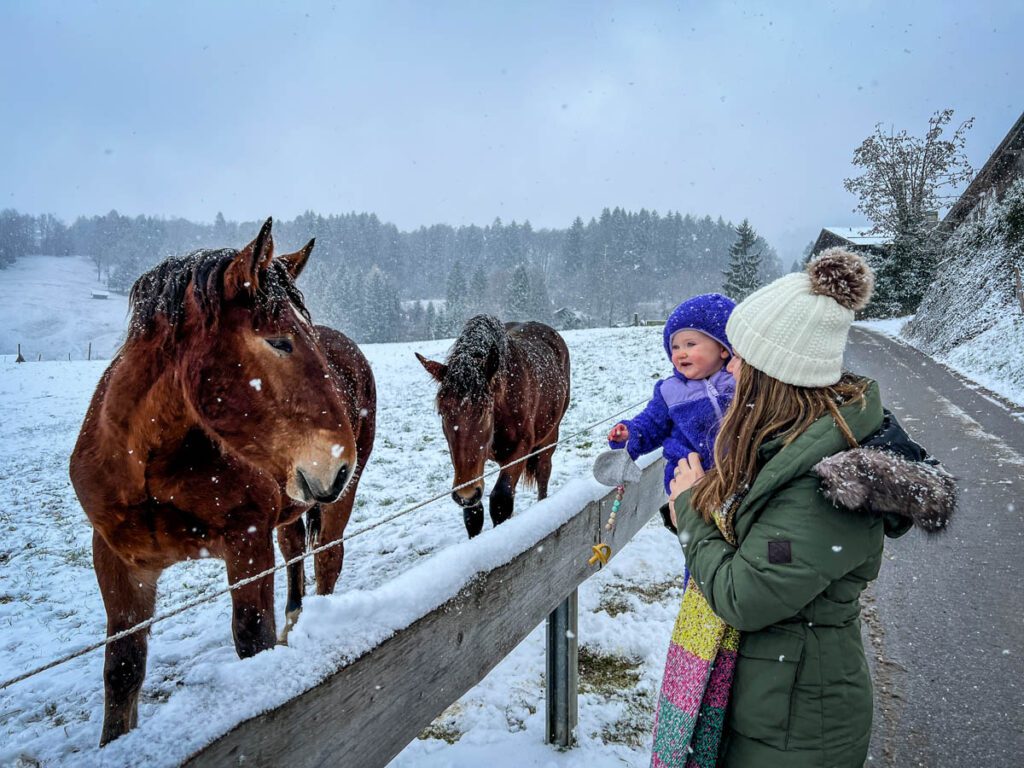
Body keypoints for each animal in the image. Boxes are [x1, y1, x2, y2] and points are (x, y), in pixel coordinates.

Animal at [72, 219, 376, 749]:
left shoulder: (247, 543)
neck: (146, 465)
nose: (337, 464)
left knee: (327, 561)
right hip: (294, 509)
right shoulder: (116, 560)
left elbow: (253, 640)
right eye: (279, 341)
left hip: (336, 505)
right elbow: (123, 671)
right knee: (297, 556)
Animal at [419, 315, 573, 536]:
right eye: (442, 414)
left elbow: (501, 500)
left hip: (550, 435)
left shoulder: (521, 448)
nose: (465, 493)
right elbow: (473, 514)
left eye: (485, 412)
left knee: (543, 473)